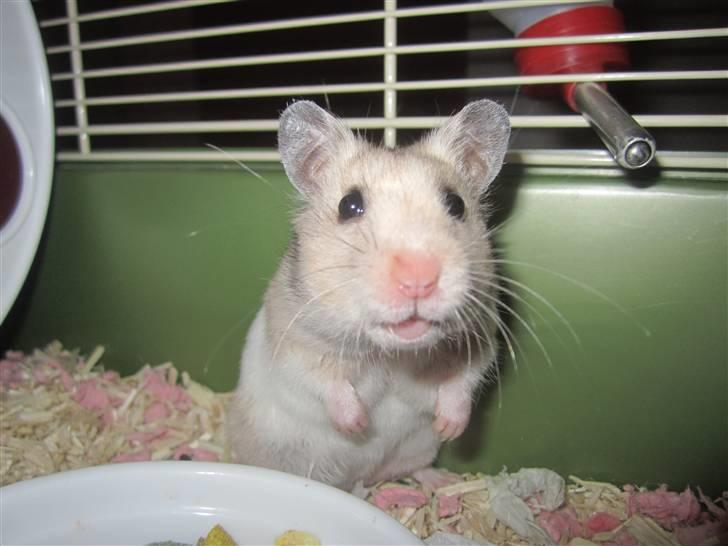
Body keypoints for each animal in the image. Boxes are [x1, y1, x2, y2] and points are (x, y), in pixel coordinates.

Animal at [227, 99, 511, 491]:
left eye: (456, 205)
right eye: (349, 205)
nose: (418, 279)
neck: (393, 354)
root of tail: (363, 478)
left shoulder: (481, 333)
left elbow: (464, 378)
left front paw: (450, 427)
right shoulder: (291, 340)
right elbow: (322, 380)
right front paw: (358, 425)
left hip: (417, 449)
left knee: (411, 468)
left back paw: (439, 483)